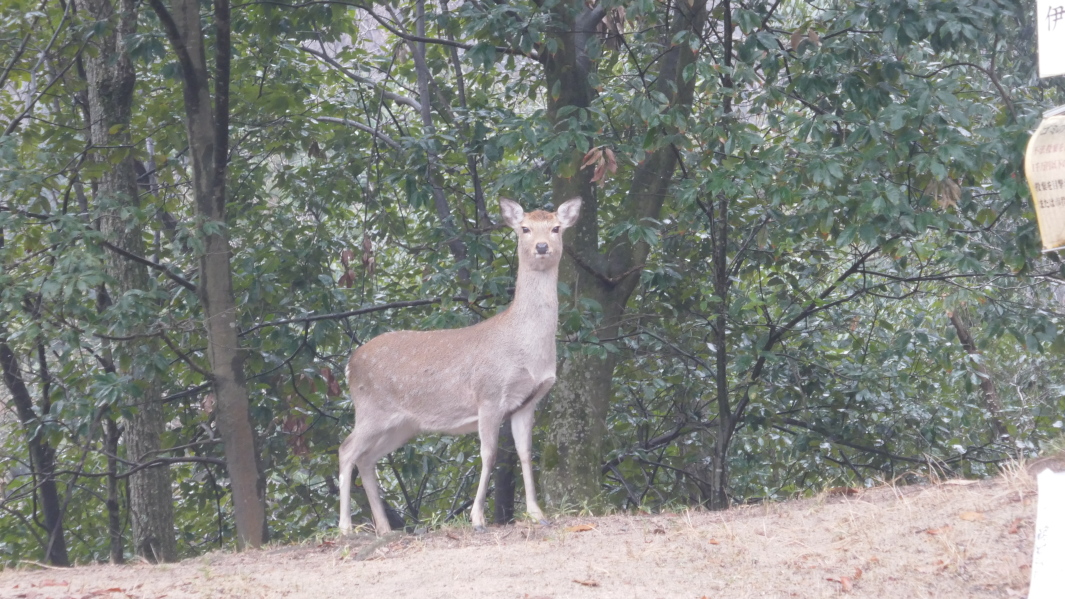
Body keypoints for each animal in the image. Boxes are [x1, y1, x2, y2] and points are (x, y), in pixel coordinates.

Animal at [338, 195, 583, 530]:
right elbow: (489, 454)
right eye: (525, 228)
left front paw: (537, 513)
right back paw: (345, 528)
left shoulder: (527, 401)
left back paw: (385, 530)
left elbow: (525, 453)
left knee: (366, 458)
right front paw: (477, 517)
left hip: (402, 424)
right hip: (370, 409)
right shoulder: (489, 395)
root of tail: (349, 364)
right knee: (346, 450)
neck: (524, 348)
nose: (543, 246)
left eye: (556, 227)